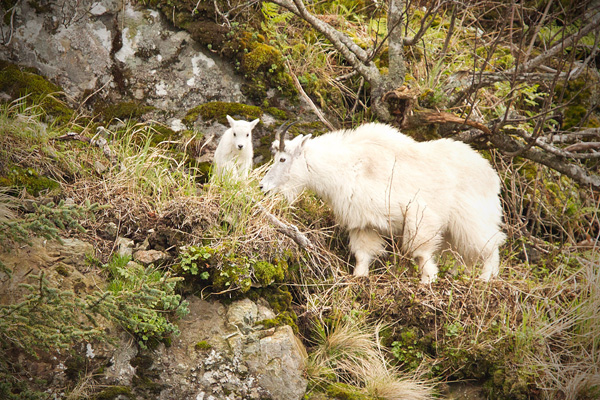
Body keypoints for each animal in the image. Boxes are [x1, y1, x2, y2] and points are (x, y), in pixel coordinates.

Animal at [260, 122, 504, 284]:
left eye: (282, 159)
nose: (263, 187)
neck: (349, 166)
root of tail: (492, 176)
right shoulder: (364, 223)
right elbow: (362, 254)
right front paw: (359, 277)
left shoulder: (418, 214)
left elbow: (420, 252)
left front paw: (427, 280)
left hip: (471, 218)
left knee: (490, 245)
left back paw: (486, 279)